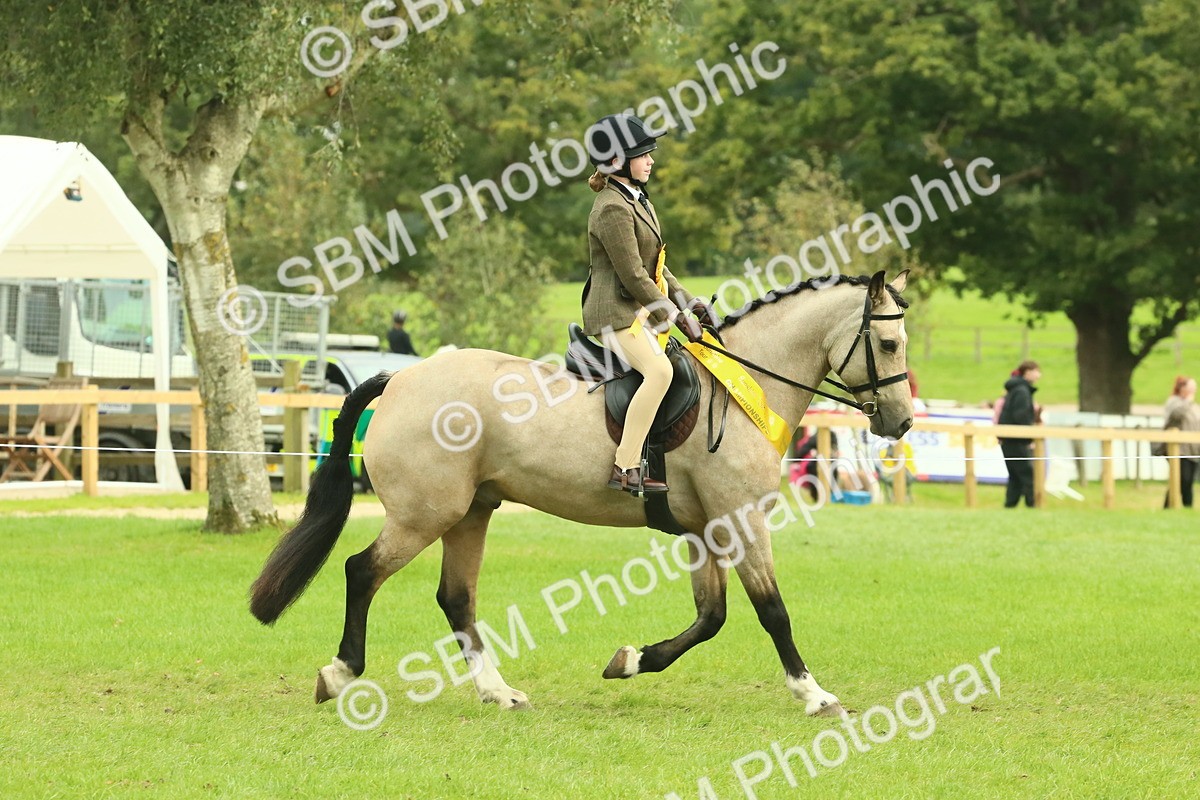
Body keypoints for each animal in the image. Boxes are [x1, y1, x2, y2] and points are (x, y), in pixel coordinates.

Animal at [250, 270, 914, 717]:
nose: (902, 422)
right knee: (361, 572)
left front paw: (630, 661)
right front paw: (814, 694)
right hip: (424, 514)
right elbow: (772, 611)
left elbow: (711, 617)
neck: (745, 385)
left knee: (455, 598)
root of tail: (401, 378)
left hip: (471, 512)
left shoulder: (707, 530)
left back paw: (498, 691)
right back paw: (340, 674)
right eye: (887, 345)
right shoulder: (741, 519)